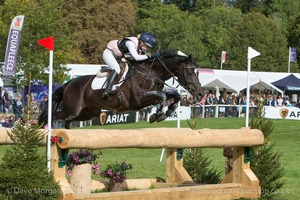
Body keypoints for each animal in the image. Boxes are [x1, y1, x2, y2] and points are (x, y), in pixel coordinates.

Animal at [37, 49, 202, 129]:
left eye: (197, 71)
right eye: (189, 72)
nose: (200, 94)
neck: (151, 72)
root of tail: (69, 83)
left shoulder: (151, 97)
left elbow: (173, 95)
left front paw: (166, 113)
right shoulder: (139, 99)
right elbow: (162, 96)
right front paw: (157, 115)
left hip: (87, 113)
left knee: (67, 121)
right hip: (72, 109)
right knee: (54, 116)